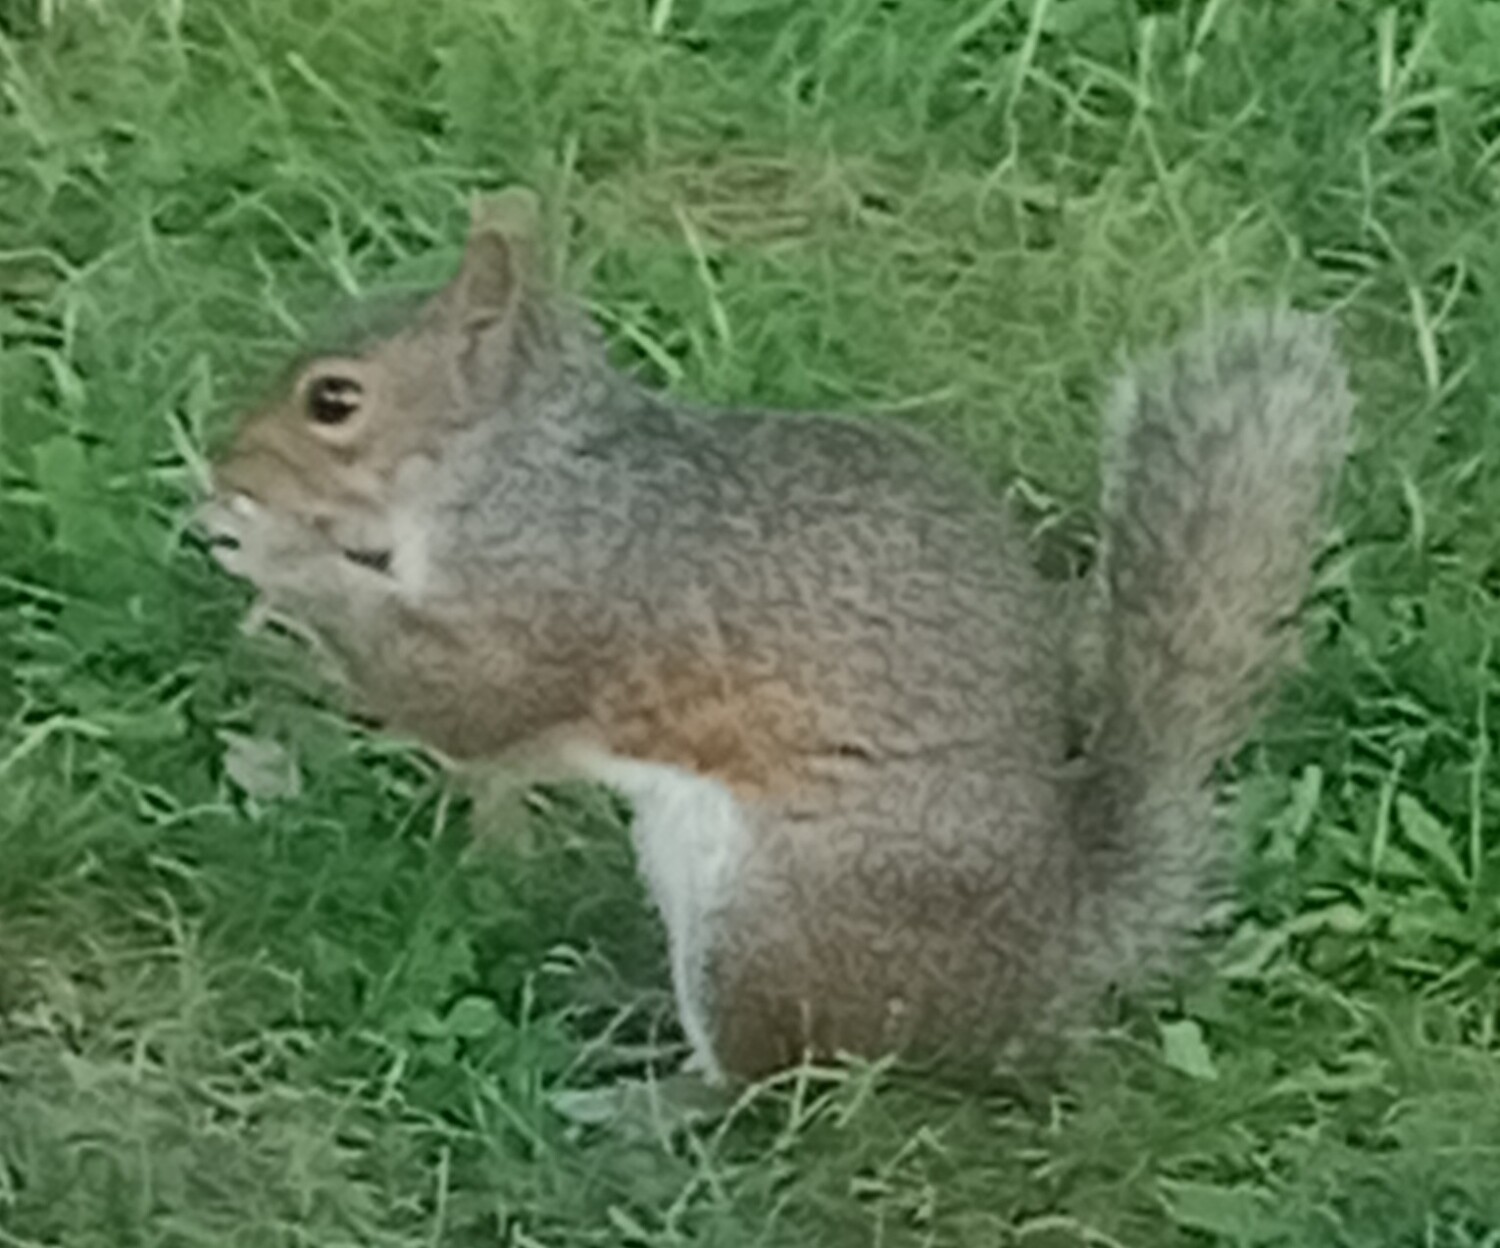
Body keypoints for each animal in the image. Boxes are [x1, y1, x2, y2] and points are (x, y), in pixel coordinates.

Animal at [196, 188, 1352, 1083]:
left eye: (334, 401)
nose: (225, 465)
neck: (513, 464)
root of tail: (1037, 967)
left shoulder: (566, 592)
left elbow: (469, 698)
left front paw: (270, 552)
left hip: (766, 922)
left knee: (774, 1074)